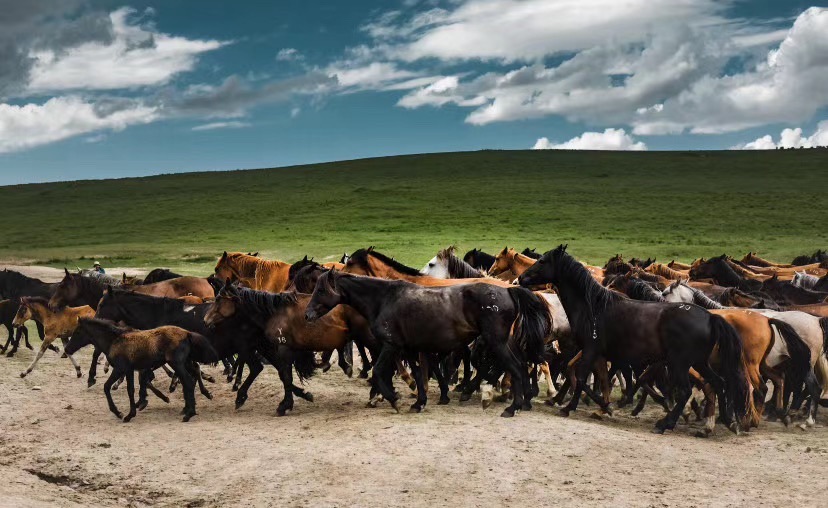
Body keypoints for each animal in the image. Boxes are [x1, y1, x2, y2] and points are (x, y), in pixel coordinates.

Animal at [65, 320, 218, 422]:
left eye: (77, 332)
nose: (67, 349)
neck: (115, 341)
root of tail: (187, 333)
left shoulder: (120, 369)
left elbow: (107, 386)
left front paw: (119, 413)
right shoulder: (129, 370)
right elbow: (131, 389)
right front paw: (130, 414)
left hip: (177, 363)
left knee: (188, 381)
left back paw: (189, 413)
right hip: (184, 362)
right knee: (193, 374)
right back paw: (191, 406)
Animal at [304, 270, 548, 416]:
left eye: (321, 289)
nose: (307, 315)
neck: (384, 300)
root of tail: (507, 290)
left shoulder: (391, 346)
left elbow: (379, 372)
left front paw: (393, 399)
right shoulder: (410, 349)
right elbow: (419, 376)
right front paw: (418, 402)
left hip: (496, 342)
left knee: (514, 368)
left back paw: (512, 407)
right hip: (505, 343)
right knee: (520, 367)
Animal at [516, 245, 752, 432]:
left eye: (543, 261)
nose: (521, 278)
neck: (594, 307)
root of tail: (710, 317)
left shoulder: (591, 349)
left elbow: (583, 377)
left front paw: (573, 407)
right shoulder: (595, 352)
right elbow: (587, 376)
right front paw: (602, 405)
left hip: (680, 363)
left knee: (686, 391)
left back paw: (666, 423)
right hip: (699, 362)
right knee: (719, 383)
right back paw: (726, 421)